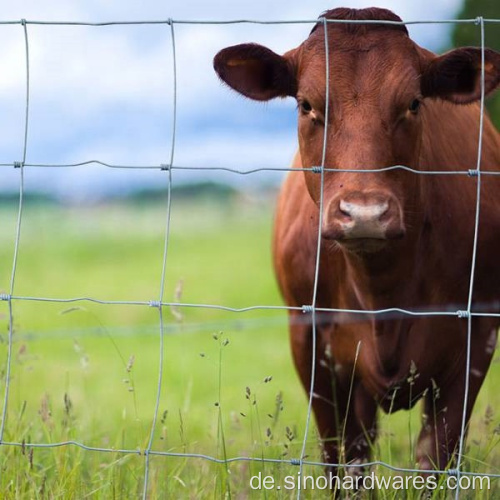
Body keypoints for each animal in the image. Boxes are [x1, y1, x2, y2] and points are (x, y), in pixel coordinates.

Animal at [214, 5, 500, 470]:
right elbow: (344, 455)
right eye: (307, 104)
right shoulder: (310, 342)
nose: (365, 215)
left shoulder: (477, 336)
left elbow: (434, 454)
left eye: (414, 103)